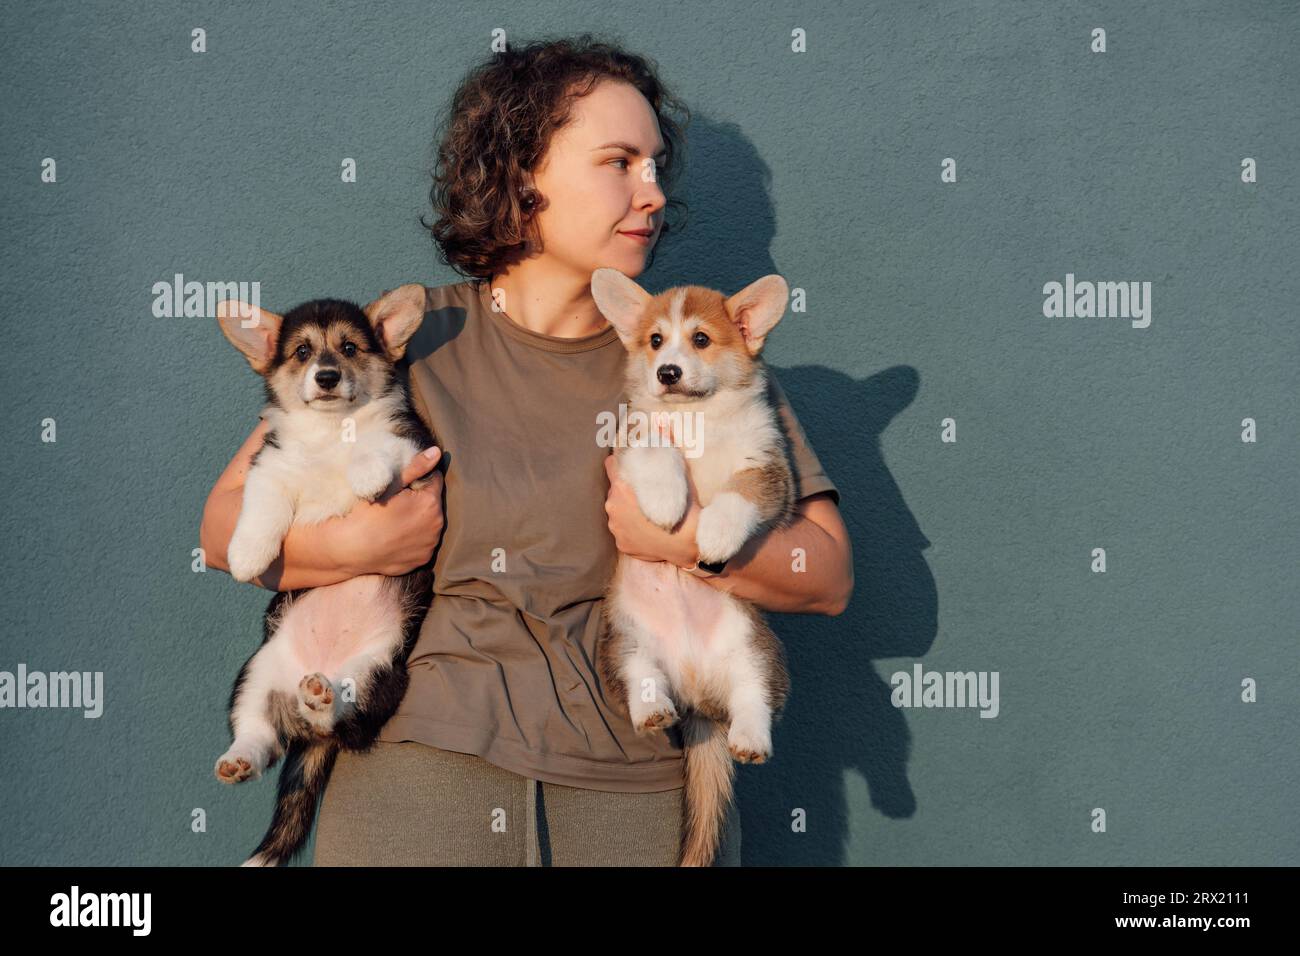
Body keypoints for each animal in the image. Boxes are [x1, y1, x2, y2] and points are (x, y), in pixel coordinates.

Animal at [210, 283, 439, 868]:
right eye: (302, 353)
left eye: (350, 348)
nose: (328, 377)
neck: (332, 431)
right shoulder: (270, 466)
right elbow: (262, 505)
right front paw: (247, 554)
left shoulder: (415, 447)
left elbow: (378, 447)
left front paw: (365, 474)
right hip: (255, 673)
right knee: (259, 735)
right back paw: (241, 758)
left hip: (381, 672)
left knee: (340, 719)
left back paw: (321, 697)